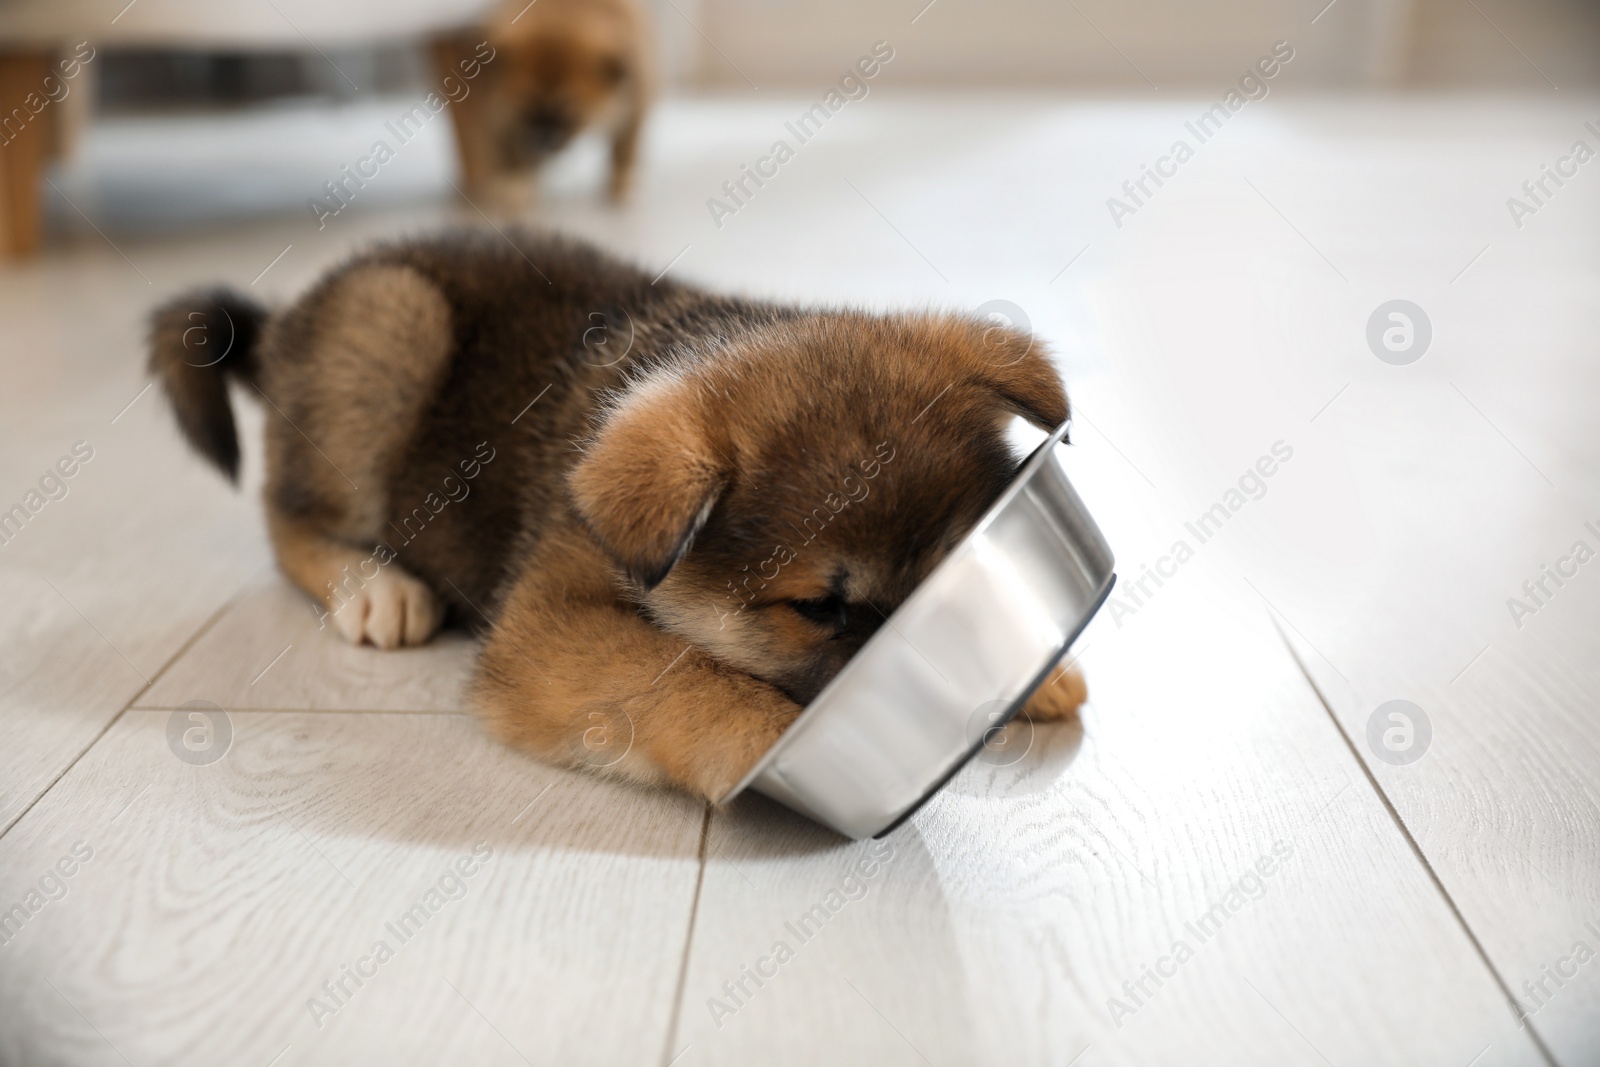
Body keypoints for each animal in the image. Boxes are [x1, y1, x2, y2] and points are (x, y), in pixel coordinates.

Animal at [150, 231, 1088, 799]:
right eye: (819, 607)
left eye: (963, 566)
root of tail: (285, 321)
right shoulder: (547, 622)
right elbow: (688, 679)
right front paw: (781, 740)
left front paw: (1032, 671)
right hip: (391, 330)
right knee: (283, 513)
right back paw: (372, 585)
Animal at [435, 0, 652, 209]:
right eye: (525, 110)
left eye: (570, 116)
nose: (542, 138)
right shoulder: (500, 116)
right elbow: (509, 154)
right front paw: (513, 185)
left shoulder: (634, 107)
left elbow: (624, 150)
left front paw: (622, 185)